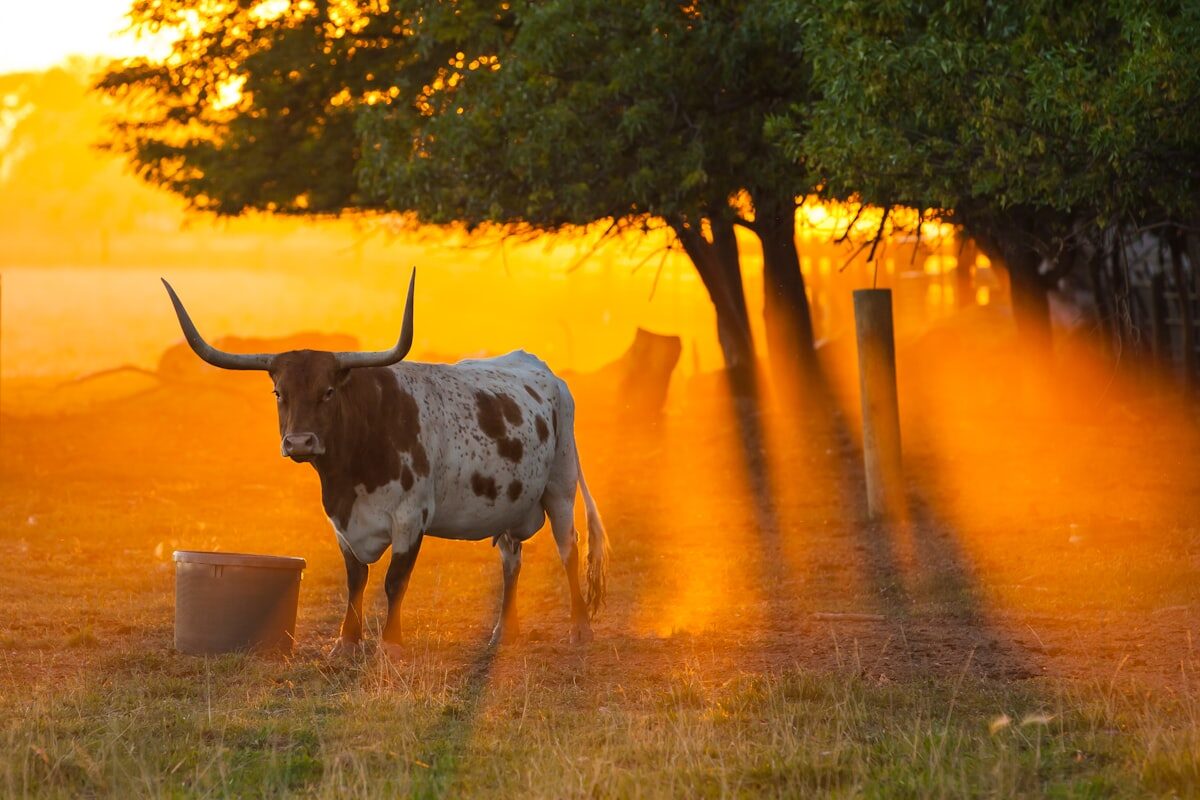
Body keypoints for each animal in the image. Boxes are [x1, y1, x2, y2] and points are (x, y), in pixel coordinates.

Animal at [161, 271, 608, 657]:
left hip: (560, 486)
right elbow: (355, 580)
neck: (350, 473)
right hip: (512, 502)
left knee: (569, 549)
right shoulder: (341, 522)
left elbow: (395, 581)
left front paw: (390, 644)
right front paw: (346, 641)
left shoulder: (411, 517)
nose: (300, 442)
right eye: (278, 393)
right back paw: (503, 631)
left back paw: (580, 627)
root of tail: (546, 372)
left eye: (327, 391)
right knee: (512, 560)